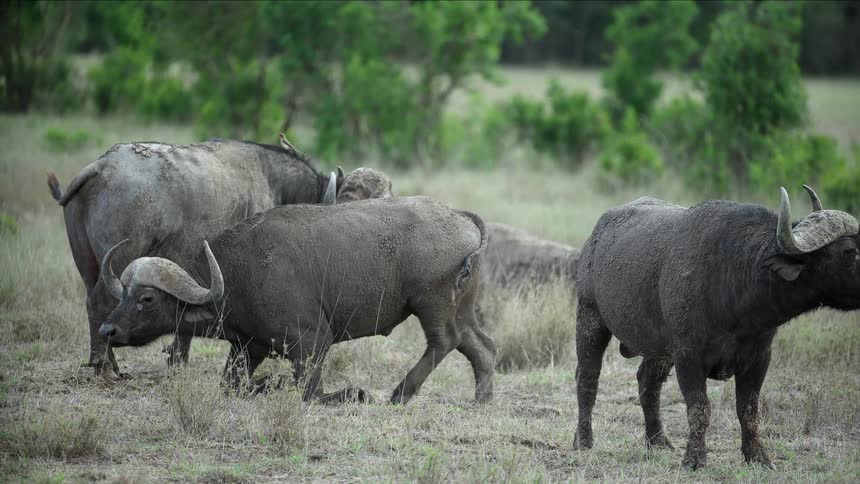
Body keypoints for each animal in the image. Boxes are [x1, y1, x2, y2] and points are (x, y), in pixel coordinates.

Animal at [48, 136, 391, 377]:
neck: (274, 181)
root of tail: (101, 166)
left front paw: (177, 363)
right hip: (121, 257)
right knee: (99, 302)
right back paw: (104, 367)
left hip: (89, 265)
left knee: (93, 305)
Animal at [96, 197, 495, 404]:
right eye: (122, 293)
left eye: (147, 297)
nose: (107, 330)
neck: (240, 273)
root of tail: (459, 216)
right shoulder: (248, 347)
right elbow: (231, 385)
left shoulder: (311, 345)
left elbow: (310, 392)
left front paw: (355, 392)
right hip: (461, 311)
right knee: (482, 346)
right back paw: (482, 398)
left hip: (432, 305)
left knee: (444, 341)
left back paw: (400, 393)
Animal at [573, 186, 859, 469]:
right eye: (849, 251)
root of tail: (593, 239)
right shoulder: (688, 356)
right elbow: (699, 408)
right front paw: (694, 458)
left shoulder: (759, 358)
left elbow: (748, 410)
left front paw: (757, 456)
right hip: (589, 318)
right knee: (588, 377)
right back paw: (583, 440)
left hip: (658, 347)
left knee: (648, 383)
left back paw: (657, 440)